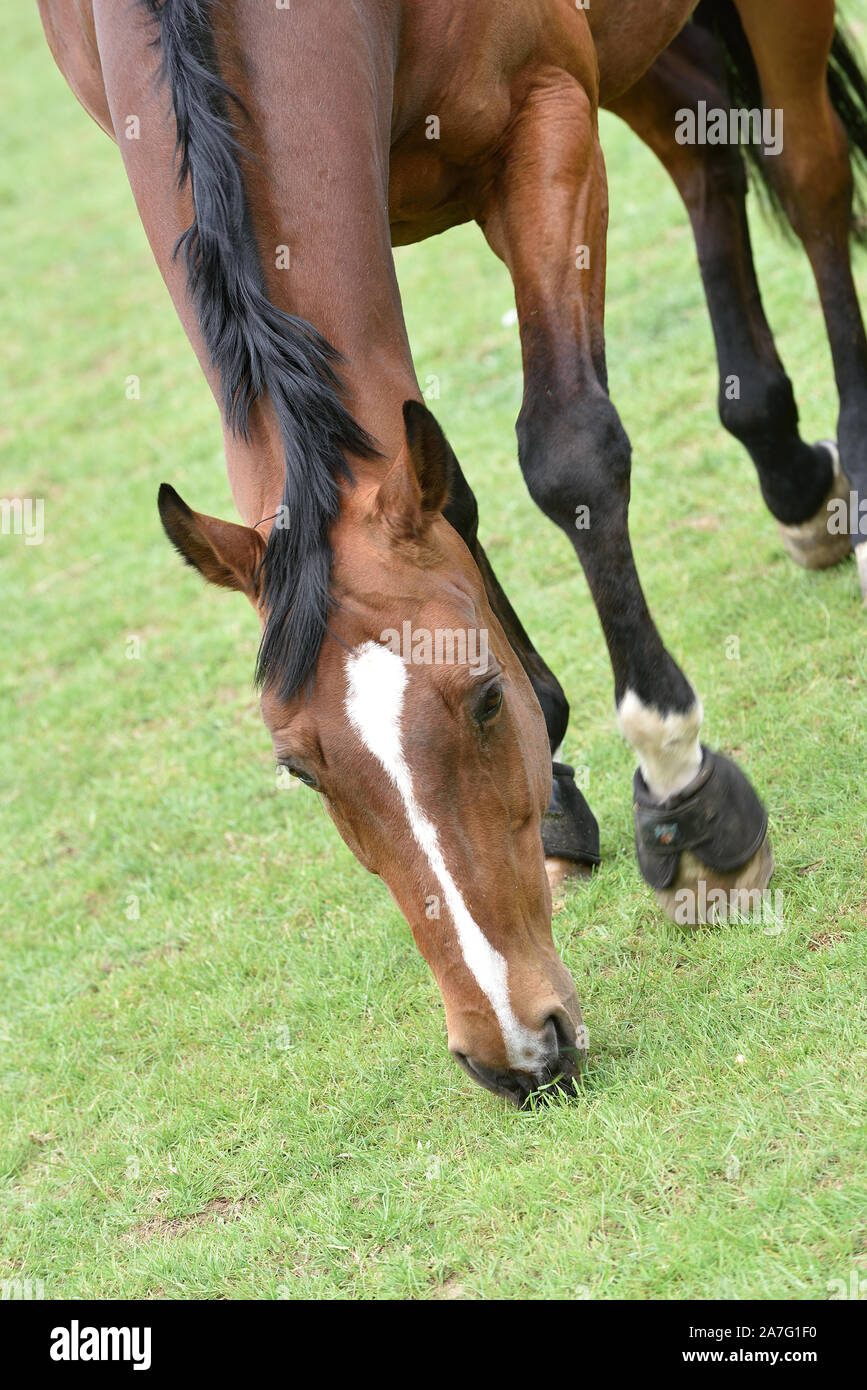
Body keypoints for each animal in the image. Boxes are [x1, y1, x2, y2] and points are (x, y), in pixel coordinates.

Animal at [38, 0, 867, 1106]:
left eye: (479, 700)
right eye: (300, 770)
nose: (513, 1049)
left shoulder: (544, 113)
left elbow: (566, 451)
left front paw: (681, 797)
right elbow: (449, 485)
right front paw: (557, 779)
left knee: (810, 173)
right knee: (706, 144)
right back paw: (786, 463)